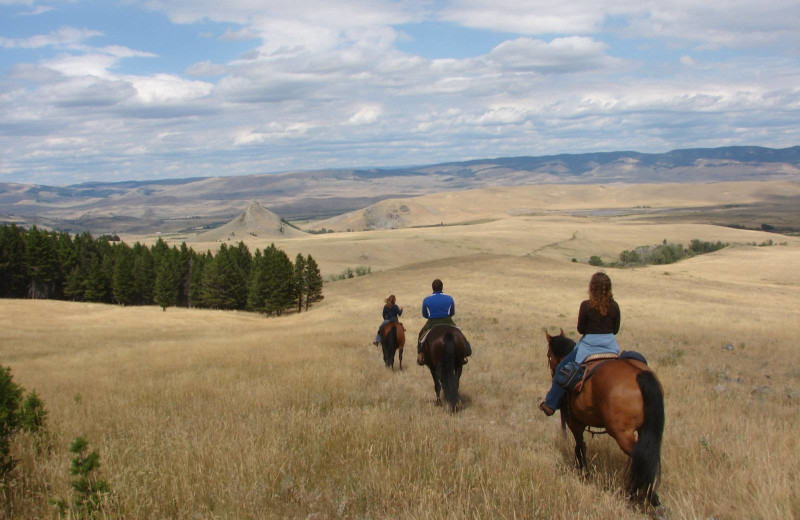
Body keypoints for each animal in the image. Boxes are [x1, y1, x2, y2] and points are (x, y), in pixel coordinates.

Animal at [548, 332, 664, 506]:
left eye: (549, 356)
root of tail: (640, 374)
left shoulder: (574, 421)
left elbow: (580, 446)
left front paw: (583, 471)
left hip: (622, 433)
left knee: (639, 456)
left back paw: (640, 494)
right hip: (646, 429)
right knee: (649, 455)